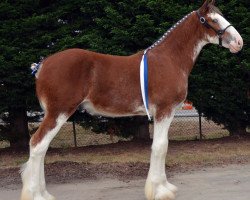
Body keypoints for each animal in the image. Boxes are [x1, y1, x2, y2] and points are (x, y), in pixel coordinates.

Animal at [20, 0, 243, 200]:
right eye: (213, 19)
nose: (239, 42)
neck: (169, 59)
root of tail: (42, 65)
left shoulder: (166, 113)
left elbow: (162, 146)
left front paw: (165, 187)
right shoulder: (164, 111)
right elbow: (160, 147)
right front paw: (159, 191)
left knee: (41, 148)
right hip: (59, 112)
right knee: (38, 145)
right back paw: (37, 195)